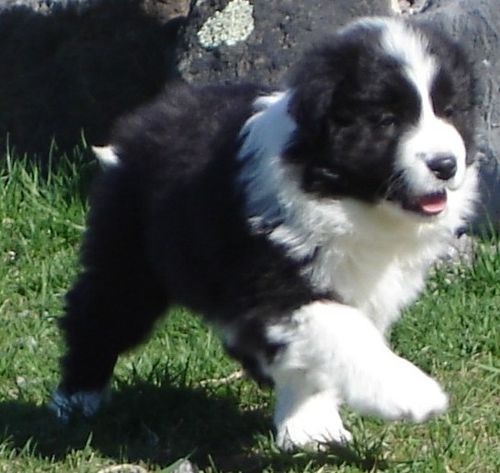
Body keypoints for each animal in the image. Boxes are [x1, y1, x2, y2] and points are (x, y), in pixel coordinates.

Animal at [51, 16, 476, 448]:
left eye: (449, 111)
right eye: (387, 120)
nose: (445, 164)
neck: (349, 201)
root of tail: (144, 122)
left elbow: (317, 358)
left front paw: (310, 428)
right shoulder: (277, 280)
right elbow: (346, 333)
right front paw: (411, 392)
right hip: (130, 260)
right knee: (99, 315)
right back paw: (75, 400)